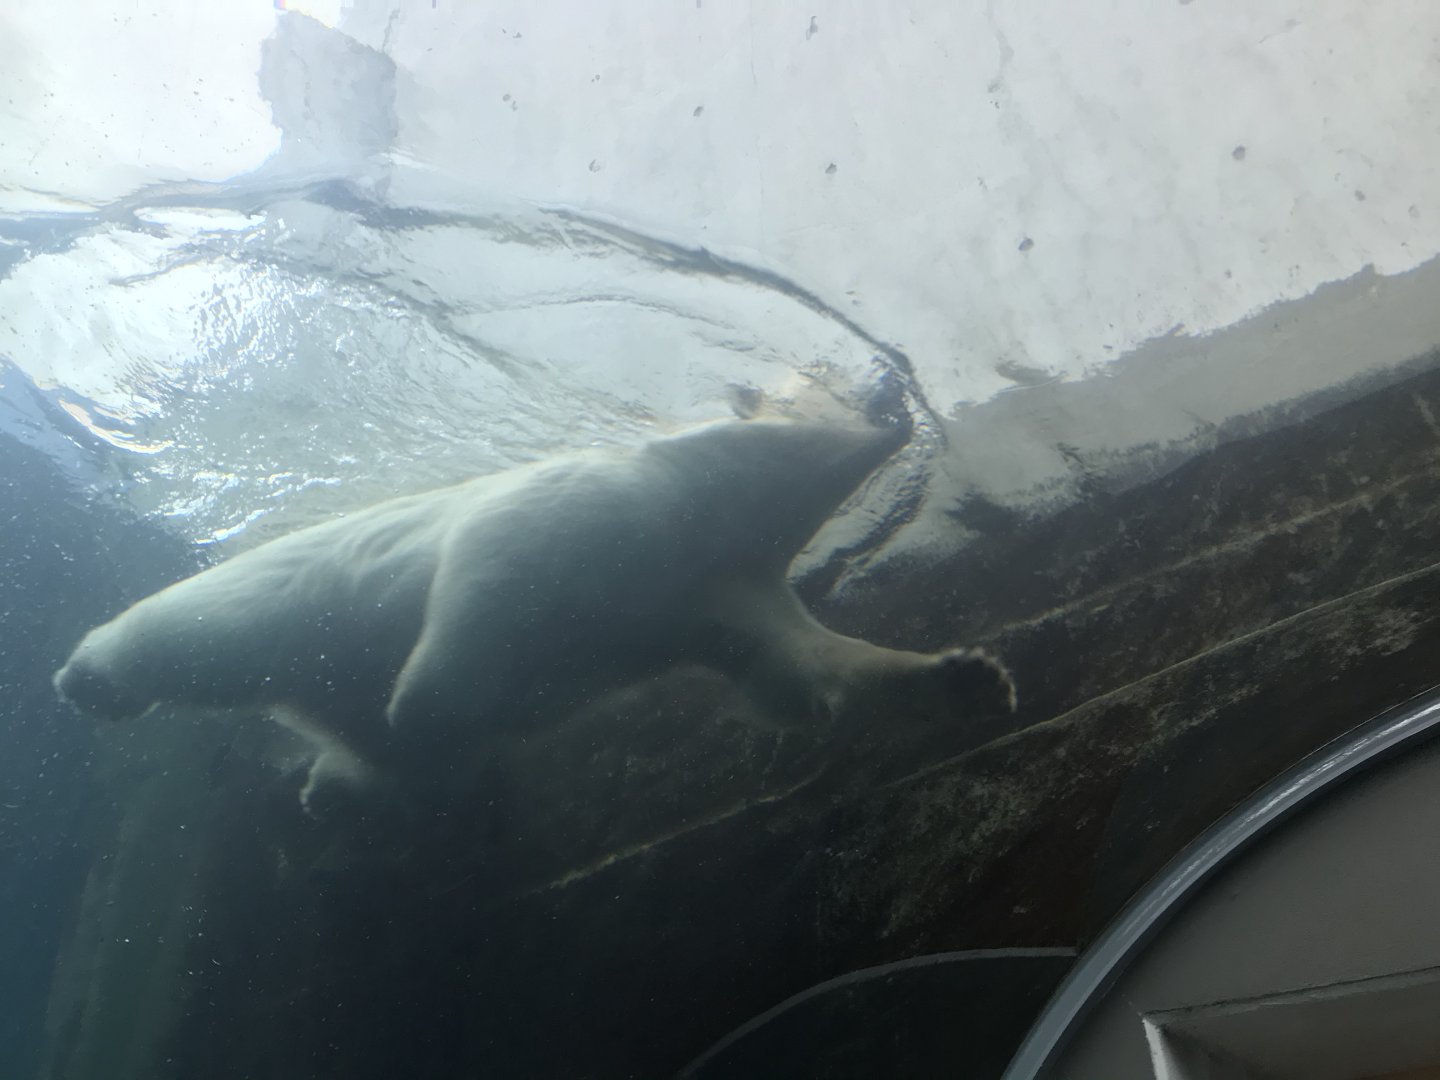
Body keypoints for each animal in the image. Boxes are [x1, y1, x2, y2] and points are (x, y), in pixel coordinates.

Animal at [55, 413, 1016, 811]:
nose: (896, 411)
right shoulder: (590, 514)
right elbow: (488, 583)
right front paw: (426, 705)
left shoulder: (704, 595)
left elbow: (799, 669)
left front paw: (968, 676)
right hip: (294, 606)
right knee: (202, 626)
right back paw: (90, 676)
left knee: (365, 758)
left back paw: (338, 787)